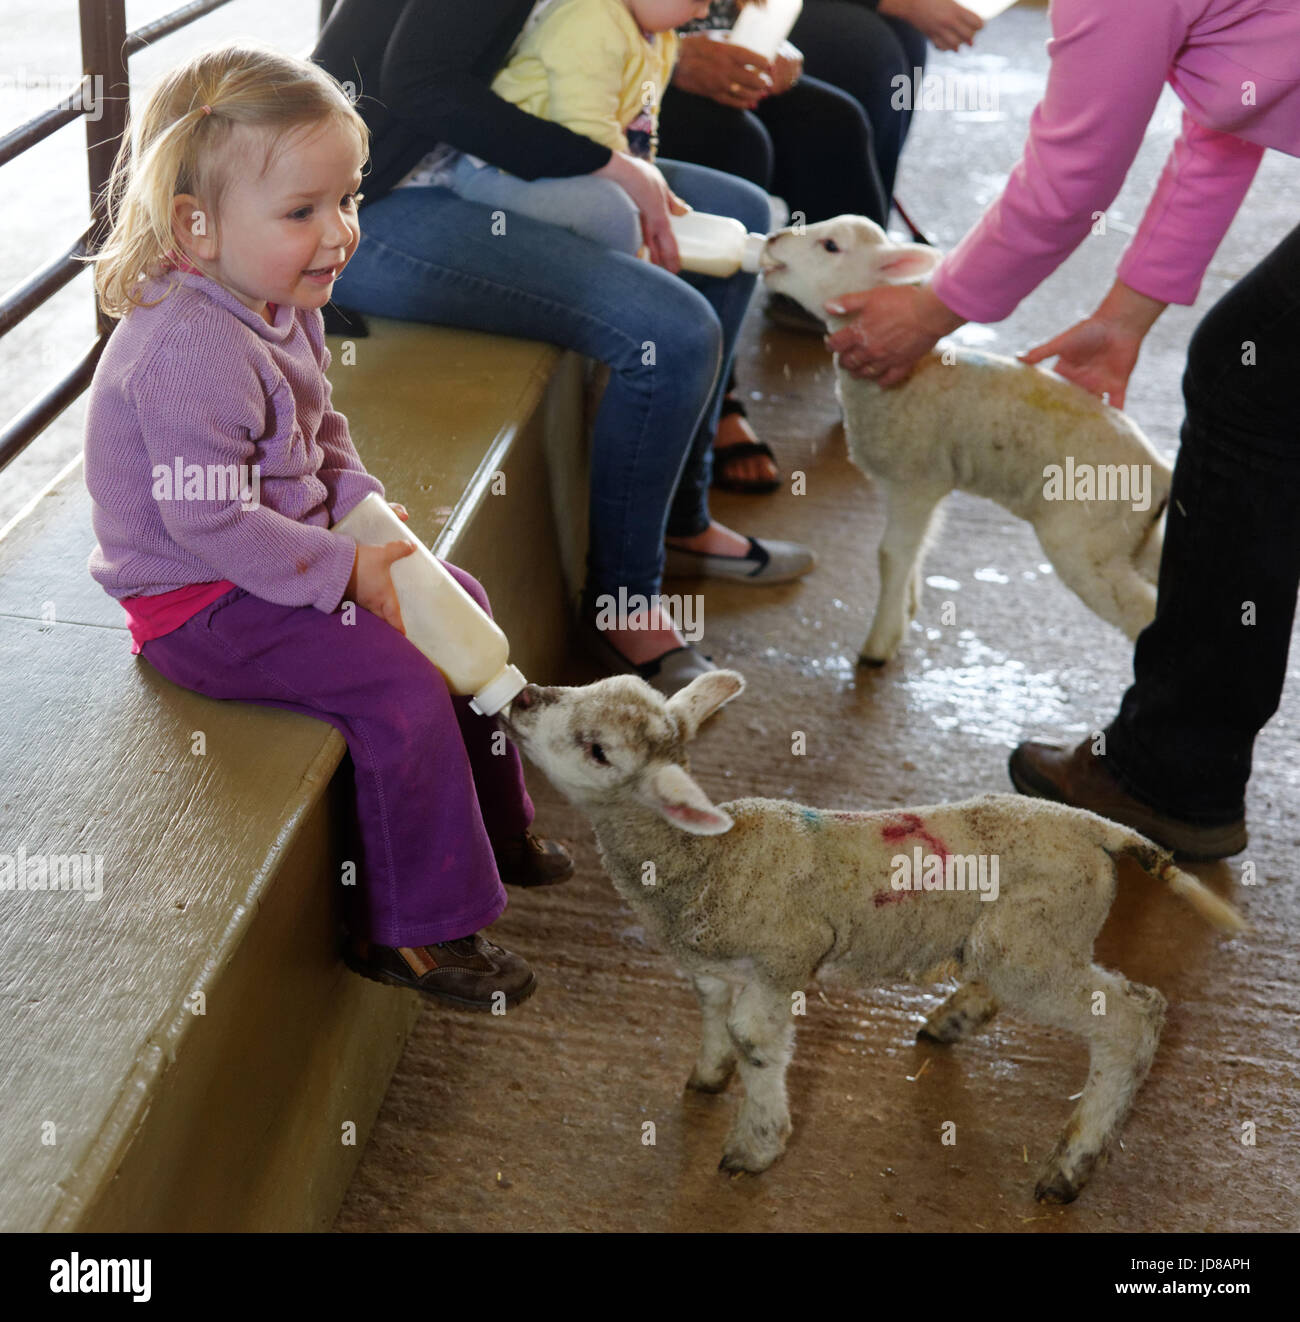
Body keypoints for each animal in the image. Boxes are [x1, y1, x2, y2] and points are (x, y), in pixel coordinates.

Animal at [499, 676, 1248, 1205]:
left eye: (599, 750)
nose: (524, 696)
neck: (705, 858)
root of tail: (1101, 829)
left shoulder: (784, 956)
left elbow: (754, 1041)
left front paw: (755, 1146)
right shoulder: (712, 962)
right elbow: (712, 1014)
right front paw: (707, 1077)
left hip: (1038, 939)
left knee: (1133, 1018)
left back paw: (1071, 1166)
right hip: (1026, 935)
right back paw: (953, 1020)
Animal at [756, 220, 1174, 666]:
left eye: (831, 246)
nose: (773, 238)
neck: (911, 376)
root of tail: (1160, 470)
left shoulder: (916, 482)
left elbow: (890, 555)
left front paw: (879, 643)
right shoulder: (916, 482)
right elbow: (915, 553)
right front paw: (905, 614)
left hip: (1086, 536)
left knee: (1137, 610)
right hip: (1129, 532)